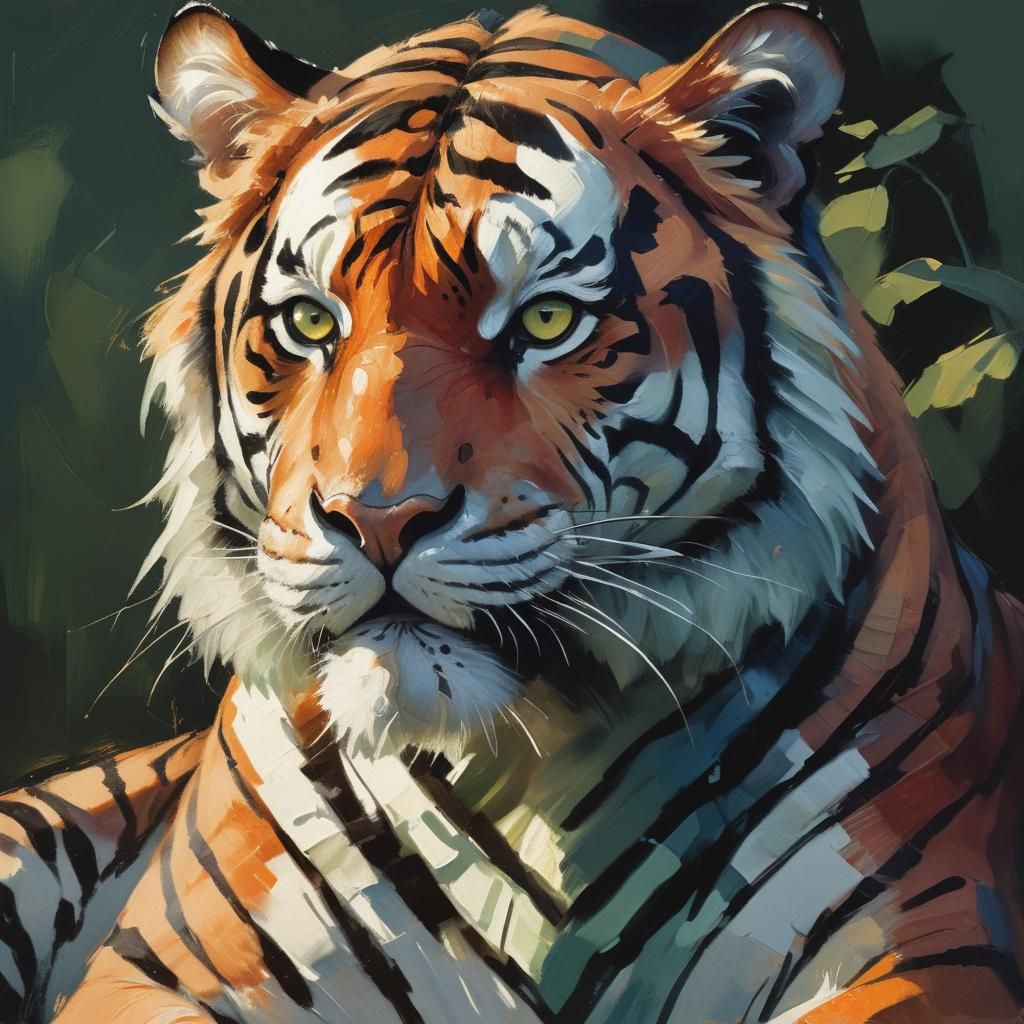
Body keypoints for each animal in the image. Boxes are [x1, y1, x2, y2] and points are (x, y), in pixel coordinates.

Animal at [2, 2, 1023, 1022]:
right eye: (311, 323)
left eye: (545, 322)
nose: (377, 520)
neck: (518, 769)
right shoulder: (178, 965)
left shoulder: (923, 942)